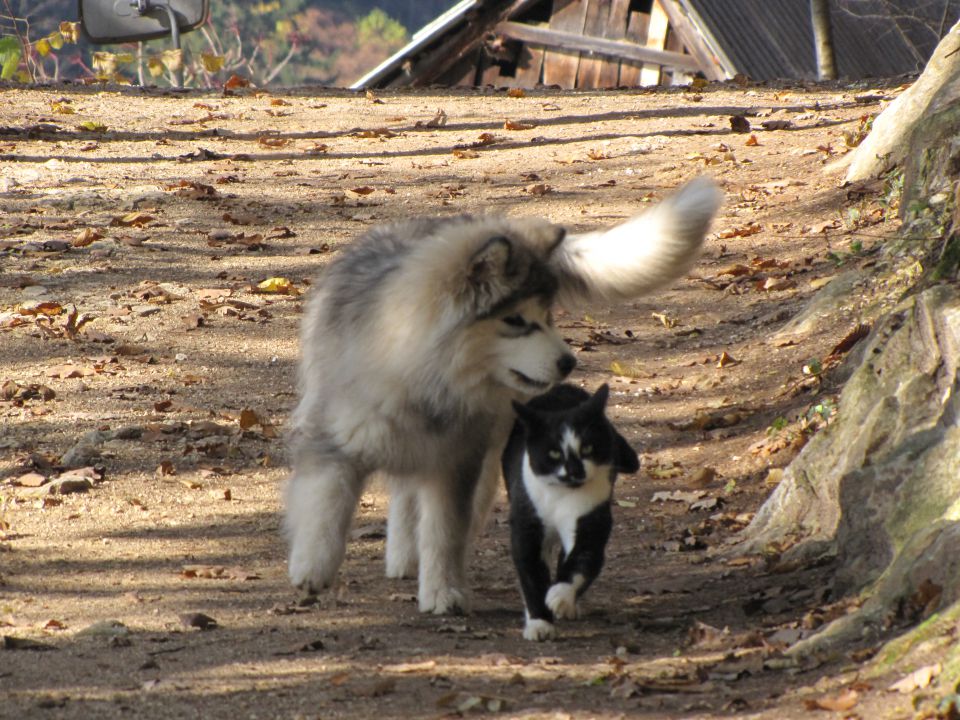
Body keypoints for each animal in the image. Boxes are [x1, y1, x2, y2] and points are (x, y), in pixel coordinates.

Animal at [288, 176, 724, 612]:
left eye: (548, 316)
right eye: (515, 320)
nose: (568, 363)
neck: (426, 376)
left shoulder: (455, 462)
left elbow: (444, 531)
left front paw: (443, 590)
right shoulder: (335, 439)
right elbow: (326, 506)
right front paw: (312, 569)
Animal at [502, 382, 636, 640]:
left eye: (587, 448)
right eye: (554, 453)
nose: (575, 470)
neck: (560, 497)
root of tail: (564, 387)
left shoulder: (592, 517)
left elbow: (582, 561)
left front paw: (560, 596)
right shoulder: (526, 522)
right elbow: (531, 574)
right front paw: (539, 622)